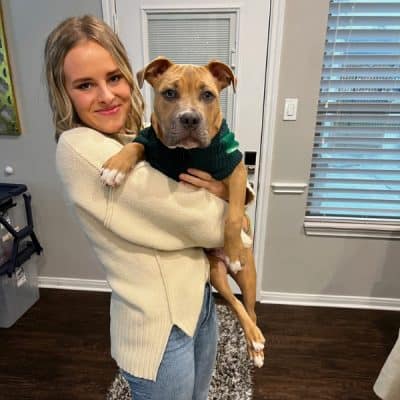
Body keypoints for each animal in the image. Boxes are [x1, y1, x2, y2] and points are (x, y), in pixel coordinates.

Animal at [101, 57, 266, 368]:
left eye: (208, 95)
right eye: (169, 93)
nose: (189, 118)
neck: (186, 153)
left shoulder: (235, 168)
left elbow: (234, 212)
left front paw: (236, 239)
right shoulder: (151, 144)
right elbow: (135, 144)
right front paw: (116, 165)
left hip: (249, 276)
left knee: (250, 309)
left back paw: (255, 344)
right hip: (215, 273)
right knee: (235, 303)